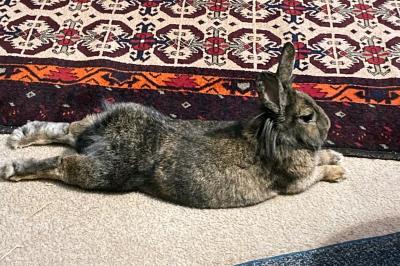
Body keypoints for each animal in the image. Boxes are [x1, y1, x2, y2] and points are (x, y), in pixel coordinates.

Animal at [0, 43, 344, 208]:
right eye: (307, 117)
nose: (328, 126)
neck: (274, 135)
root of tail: (106, 134)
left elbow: (321, 159)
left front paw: (337, 156)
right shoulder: (296, 182)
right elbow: (317, 174)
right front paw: (338, 171)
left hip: (101, 126)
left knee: (69, 131)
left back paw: (19, 137)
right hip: (106, 173)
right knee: (62, 162)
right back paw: (14, 168)